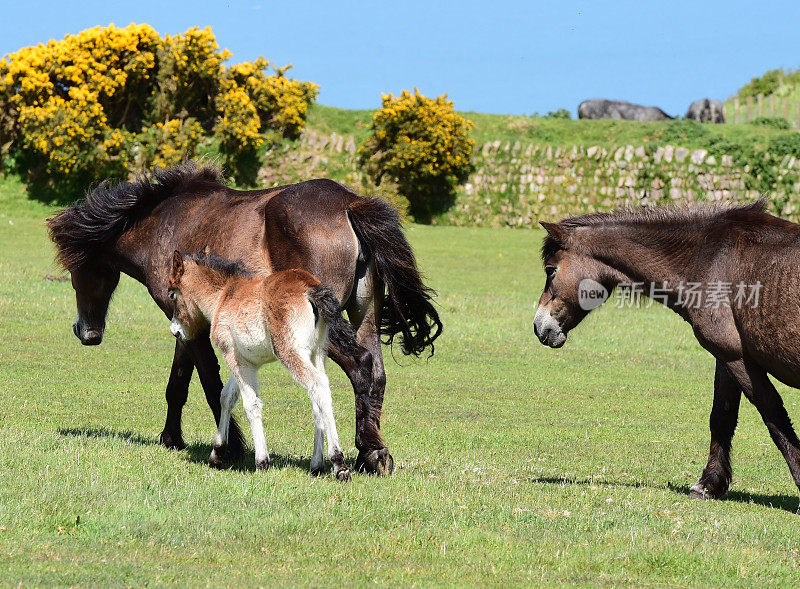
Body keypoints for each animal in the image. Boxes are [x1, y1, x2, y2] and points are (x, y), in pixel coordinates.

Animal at [46, 161, 440, 474]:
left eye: (77, 271)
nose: (86, 332)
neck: (164, 223)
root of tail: (348, 203)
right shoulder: (185, 324)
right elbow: (178, 385)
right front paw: (172, 437)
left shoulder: (194, 327)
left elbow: (211, 385)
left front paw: (230, 447)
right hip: (363, 319)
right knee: (375, 374)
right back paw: (372, 452)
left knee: (358, 368)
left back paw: (365, 454)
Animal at [536, 200, 800, 508]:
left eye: (551, 270)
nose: (539, 326)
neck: (708, 258)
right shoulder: (727, 357)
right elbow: (721, 417)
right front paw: (709, 485)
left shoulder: (737, 358)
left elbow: (775, 418)